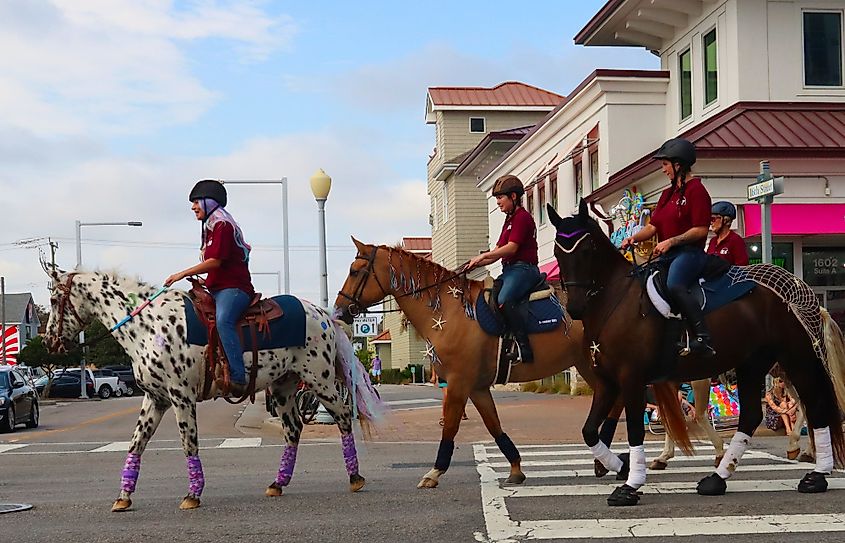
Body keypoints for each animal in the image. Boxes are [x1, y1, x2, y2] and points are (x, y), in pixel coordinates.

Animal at [42, 270, 380, 512]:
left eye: (56, 300)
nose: (48, 342)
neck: (149, 328)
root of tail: (325, 316)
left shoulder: (181, 397)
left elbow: (188, 443)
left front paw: (193, 494)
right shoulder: (155, 399)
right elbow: (136, 444)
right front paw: (123, 496)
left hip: (319, 380)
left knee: (342, 417)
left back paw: (355, 478)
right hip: (283, 387)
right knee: (293, 429)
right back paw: (278, 483)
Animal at [334, 238, 620, 488]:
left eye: (355, 271)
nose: (339, 309)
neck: (450, 311)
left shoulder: (458, 383)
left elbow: (450, 427)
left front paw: (435, 472)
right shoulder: (477, 388)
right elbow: (494, 427)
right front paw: (516, 469)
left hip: (594, 364)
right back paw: (606, 460)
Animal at [544, 202, 840, 508]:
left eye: (587, 249)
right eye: (558, 252)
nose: (575, 308)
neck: (617, 302)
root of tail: (800, 288)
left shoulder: (632, 379)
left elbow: (639, 429)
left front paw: (630, 484)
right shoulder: (608, 383)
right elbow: (590, 431)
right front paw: (621, 465)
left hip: (797, 359)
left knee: (814, 405)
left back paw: (816, 474)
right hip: (753, 364)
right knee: (751, 416)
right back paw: (718, 478)